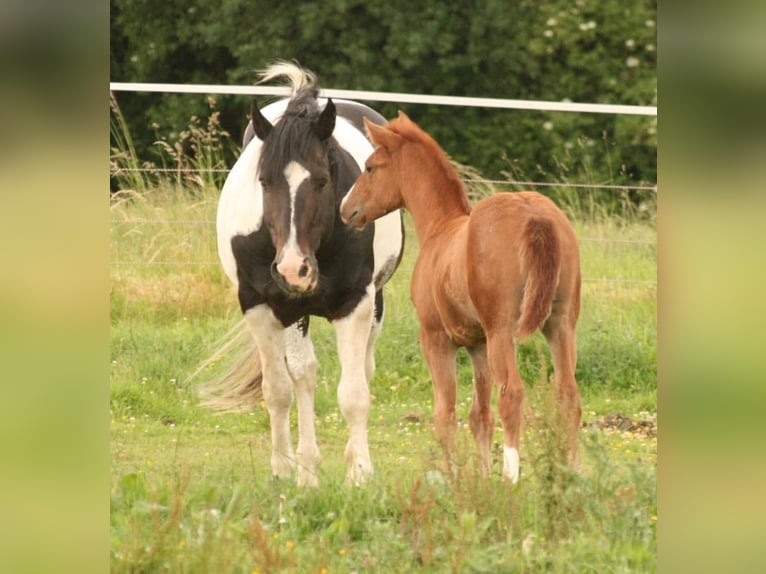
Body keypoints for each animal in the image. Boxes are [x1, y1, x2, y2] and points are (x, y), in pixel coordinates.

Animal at [207, 62, 404, 486]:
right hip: (295, 314)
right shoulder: (262, 307)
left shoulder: (355, 304)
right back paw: (307, 468)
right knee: (304, 375)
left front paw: (359, 474)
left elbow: (353, 394)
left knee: (362, 370)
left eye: (322, 180)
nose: (292, 269)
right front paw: (286, 470)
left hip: (373, 304)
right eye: (264, 181)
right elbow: (279, 389)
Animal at [342, 111, 584, 482]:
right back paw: (571, 474)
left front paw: (453, 477)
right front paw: (481, 477)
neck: (441, 229)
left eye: (370, 167)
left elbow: (445, 413)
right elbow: (479, 415)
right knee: (568, 395)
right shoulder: (477, 344)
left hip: (503, 332)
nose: (346, 209)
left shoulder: (436, 339)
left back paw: (511, 478)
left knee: (512, 394)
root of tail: (536, 216)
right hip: (560, 325)